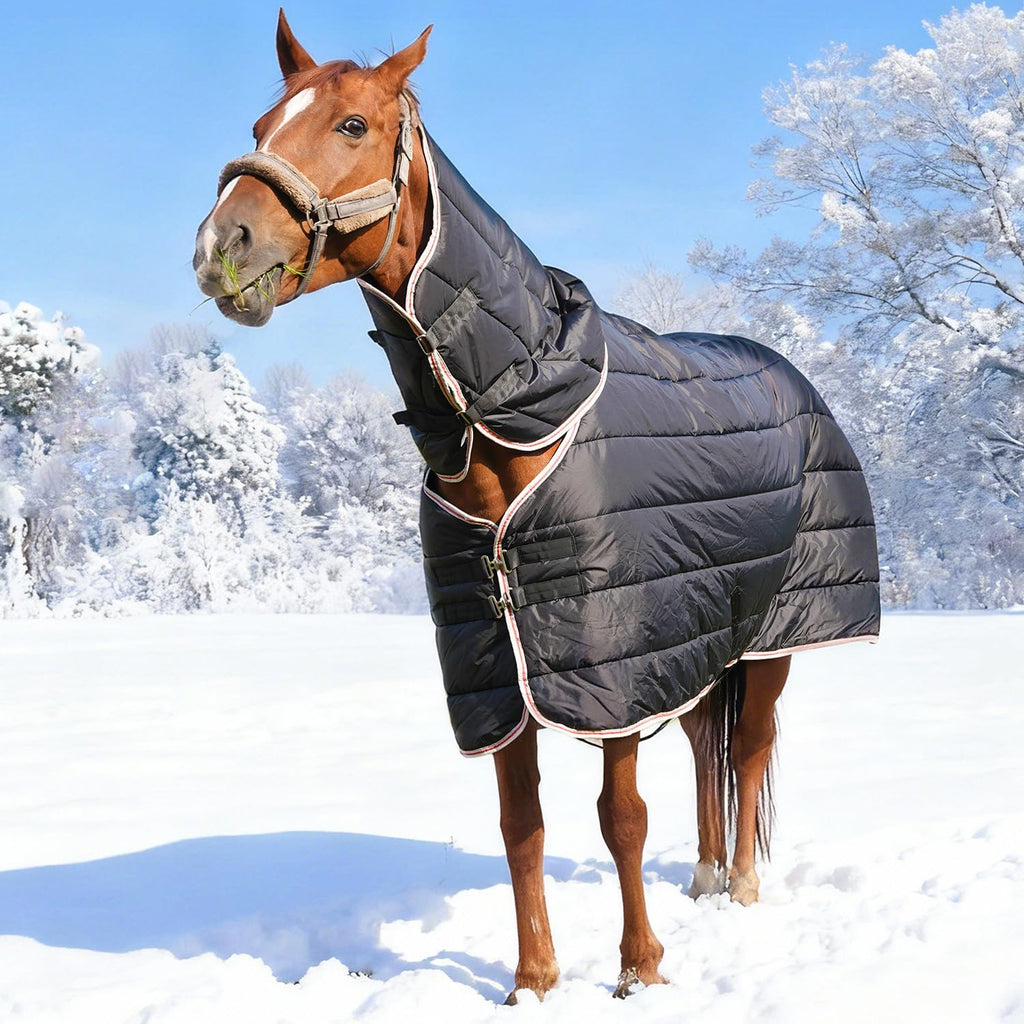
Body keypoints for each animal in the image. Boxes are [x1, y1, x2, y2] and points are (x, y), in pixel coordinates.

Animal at [193, 13, 880, 1002]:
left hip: (775, 636)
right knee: (704, 745)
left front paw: (639, 970)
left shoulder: (612, 669)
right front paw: (533, 981)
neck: (520, 412)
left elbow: (620, 817)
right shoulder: (501, 667)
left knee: (745, 750)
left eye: (353, 124)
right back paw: (707, 878)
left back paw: (743, 889)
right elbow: (523, 827)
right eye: (259, 124)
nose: (222, 246)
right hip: (704, 638)